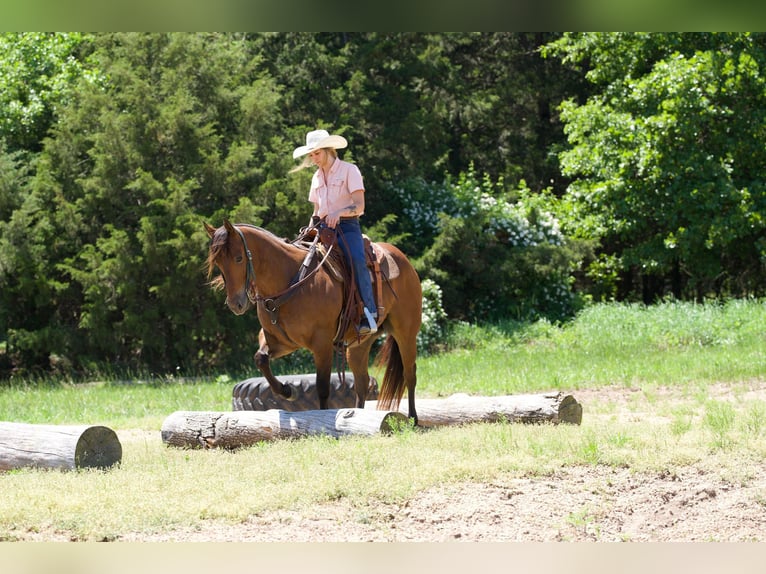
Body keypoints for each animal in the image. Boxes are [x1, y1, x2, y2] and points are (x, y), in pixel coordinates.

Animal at [204, 219, 424, 424]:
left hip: (405, 333)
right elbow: (261, 359)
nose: (236, 304)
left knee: (409, 374)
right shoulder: (281, 342)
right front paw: (287, 391)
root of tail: (403, 260)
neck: (290, 281)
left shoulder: (322, 344)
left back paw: (413, 418)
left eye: (239, 258)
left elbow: (322, 387)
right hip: (358, 345)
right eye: (218, 263)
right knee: (362, 382)